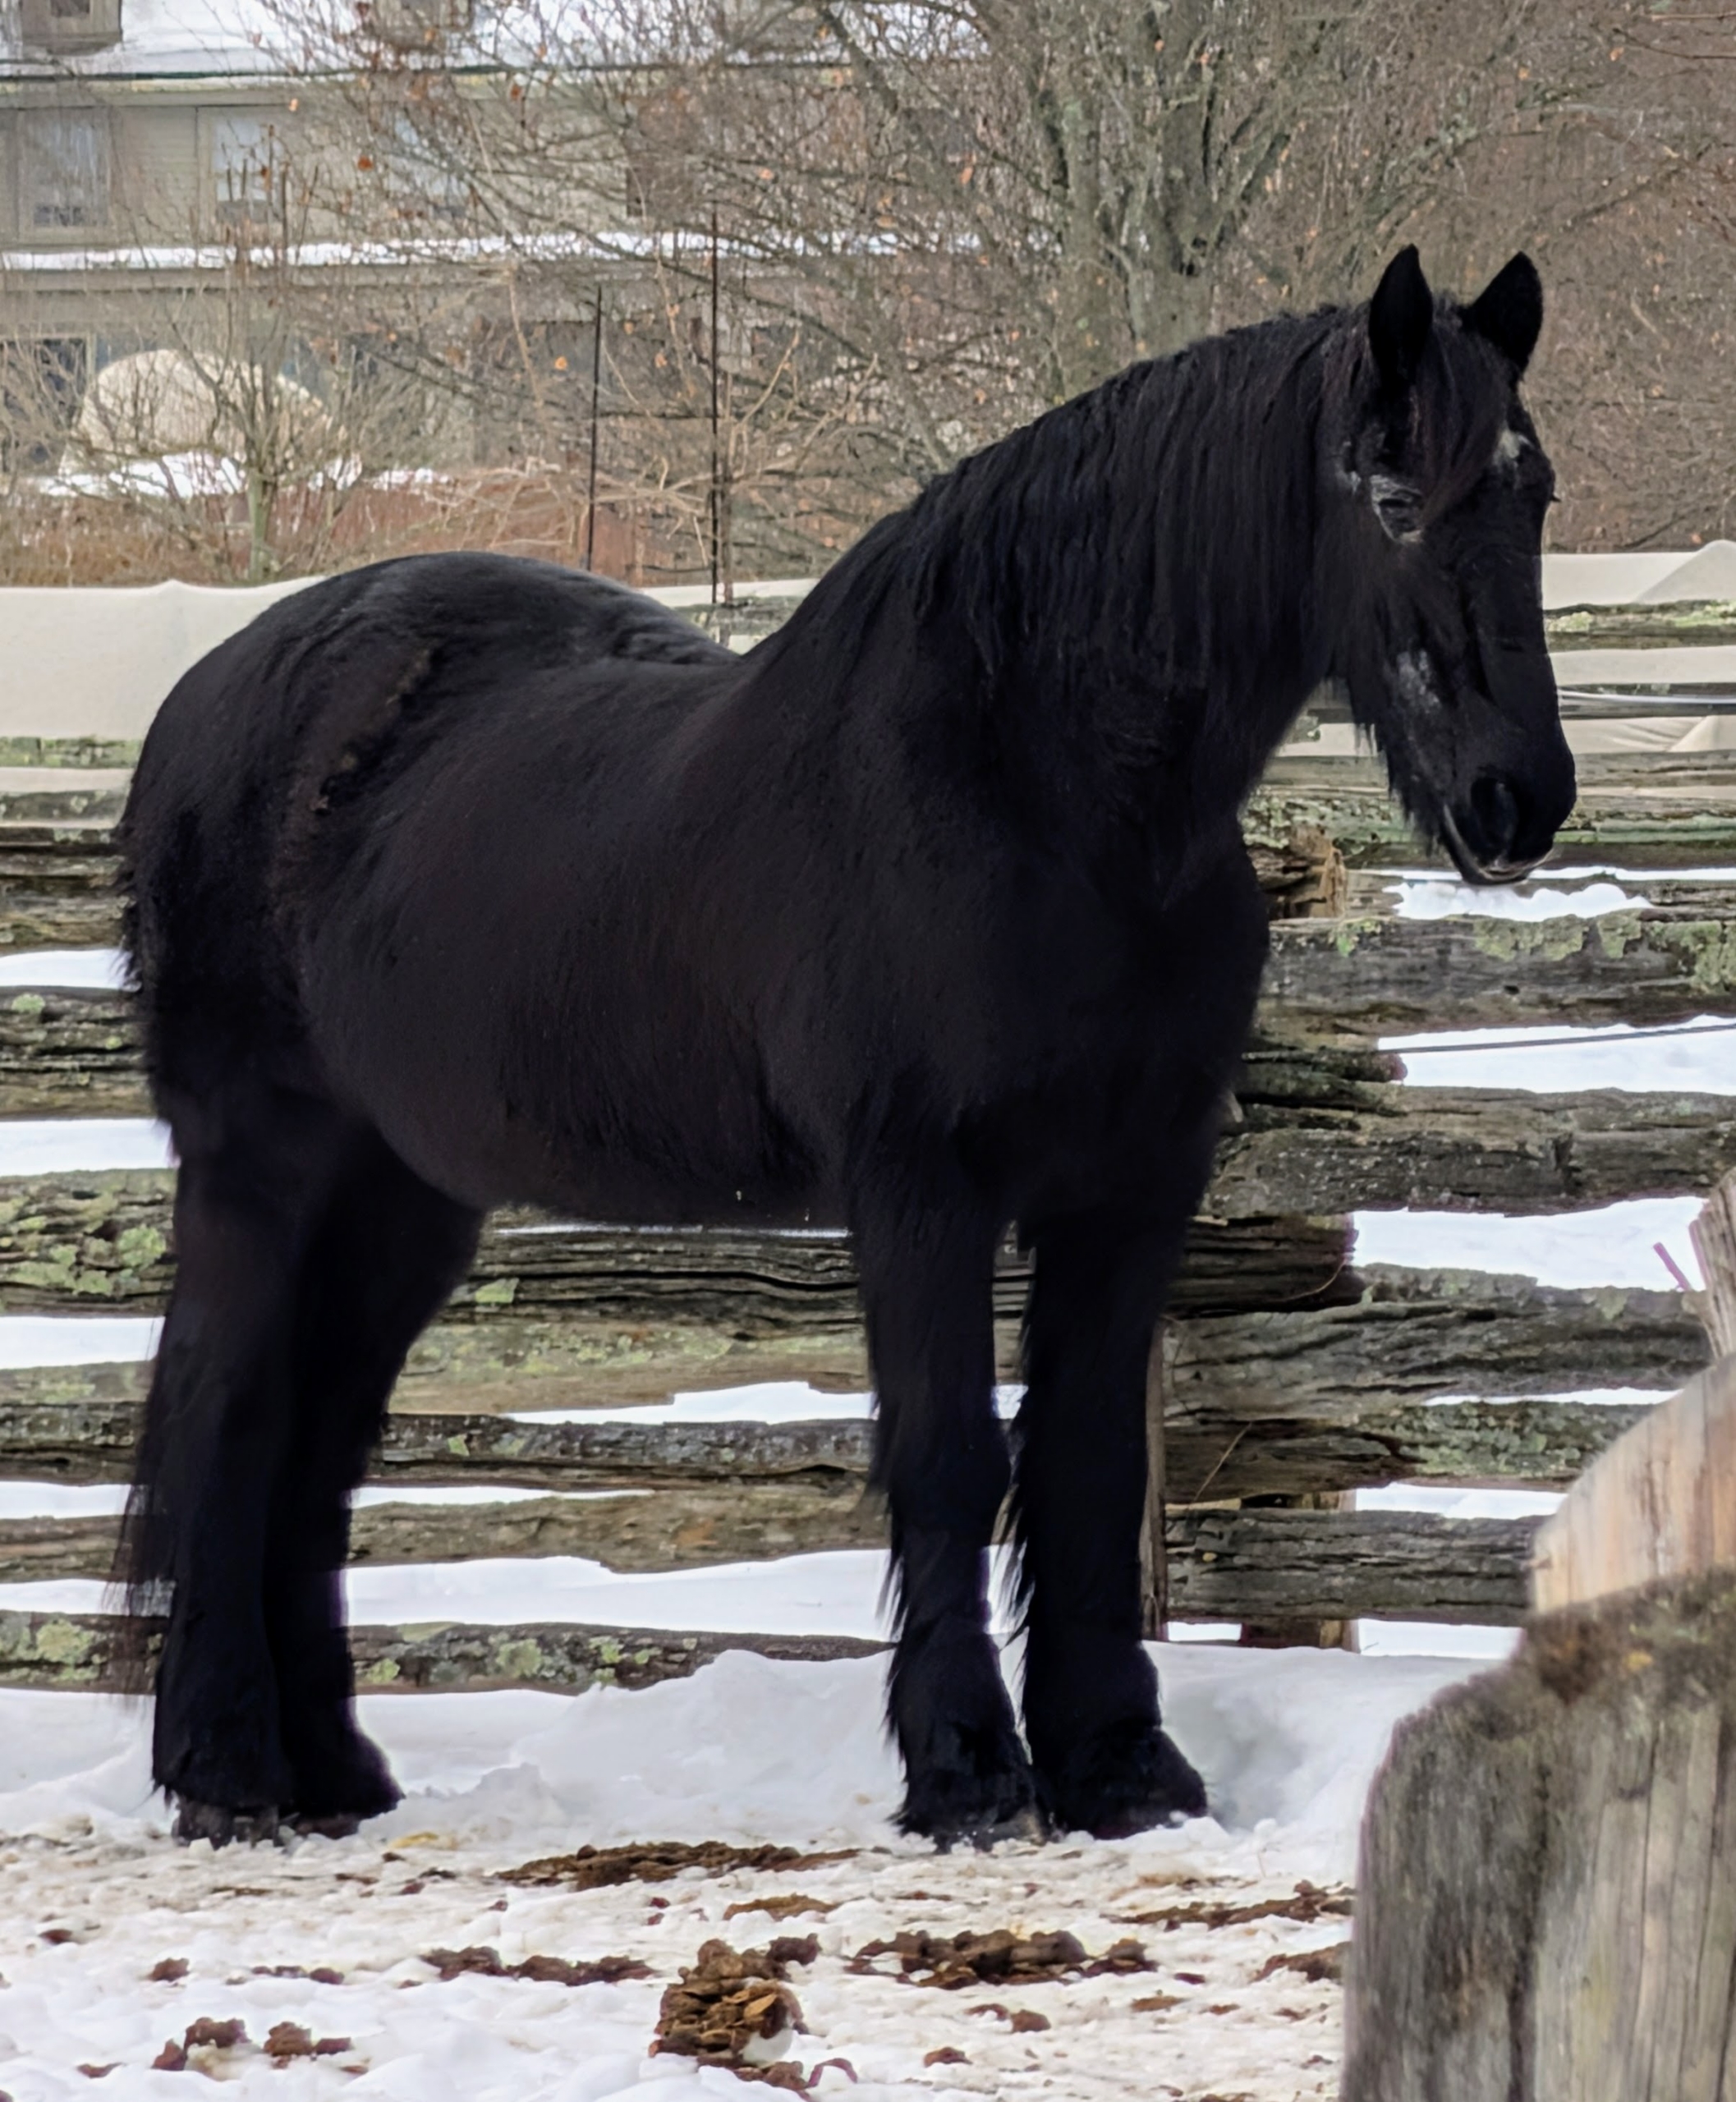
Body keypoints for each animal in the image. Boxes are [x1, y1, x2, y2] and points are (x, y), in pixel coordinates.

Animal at [117, 244, 1573, 1850]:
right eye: (1389, 495)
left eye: (1532, 494)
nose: (1516, 798)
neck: (1034, 792)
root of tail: (208, 698)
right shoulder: (916, 1185)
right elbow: (947, 1459)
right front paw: (968, 1772)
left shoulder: (1134, 1184)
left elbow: (1083, 1459)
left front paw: (1120, 1766)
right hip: (262, 1166)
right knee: (228, 1421)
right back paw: (223, 1770)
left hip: (406, 1198)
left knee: (316, 1453)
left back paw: (329, 1775)